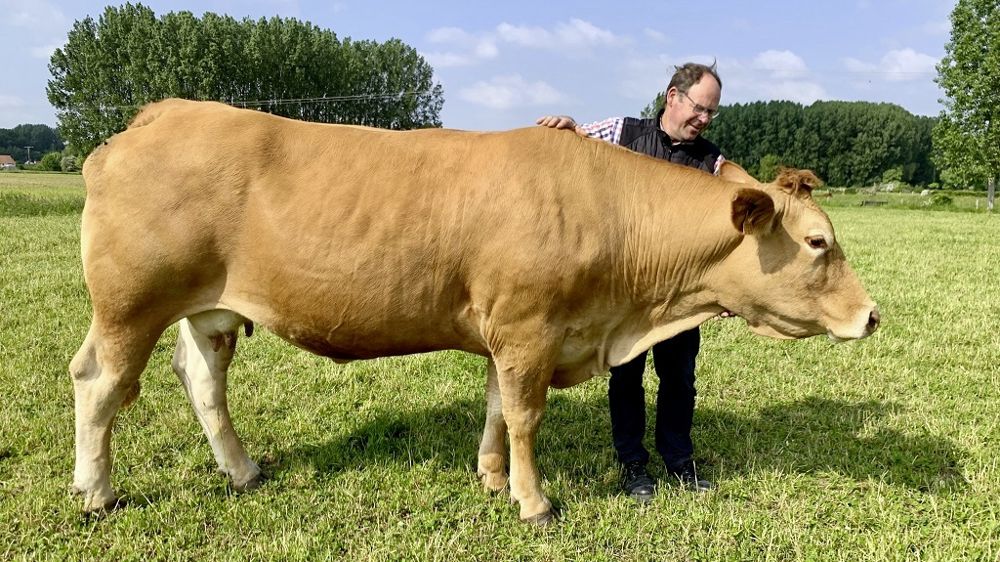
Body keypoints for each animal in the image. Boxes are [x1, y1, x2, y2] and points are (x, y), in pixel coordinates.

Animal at [70, 99, 879, 524]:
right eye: (817, 241)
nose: (872, 316)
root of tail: (164, 113)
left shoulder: (511, 333)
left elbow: (495, 407)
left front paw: (492, 478)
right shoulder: (529, 327)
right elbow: (524, 415)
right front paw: (533, 500)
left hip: (206, 310)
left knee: (202, 380)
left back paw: (242, 472)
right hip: (129, 304)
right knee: (100, 386)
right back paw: (97, 491)